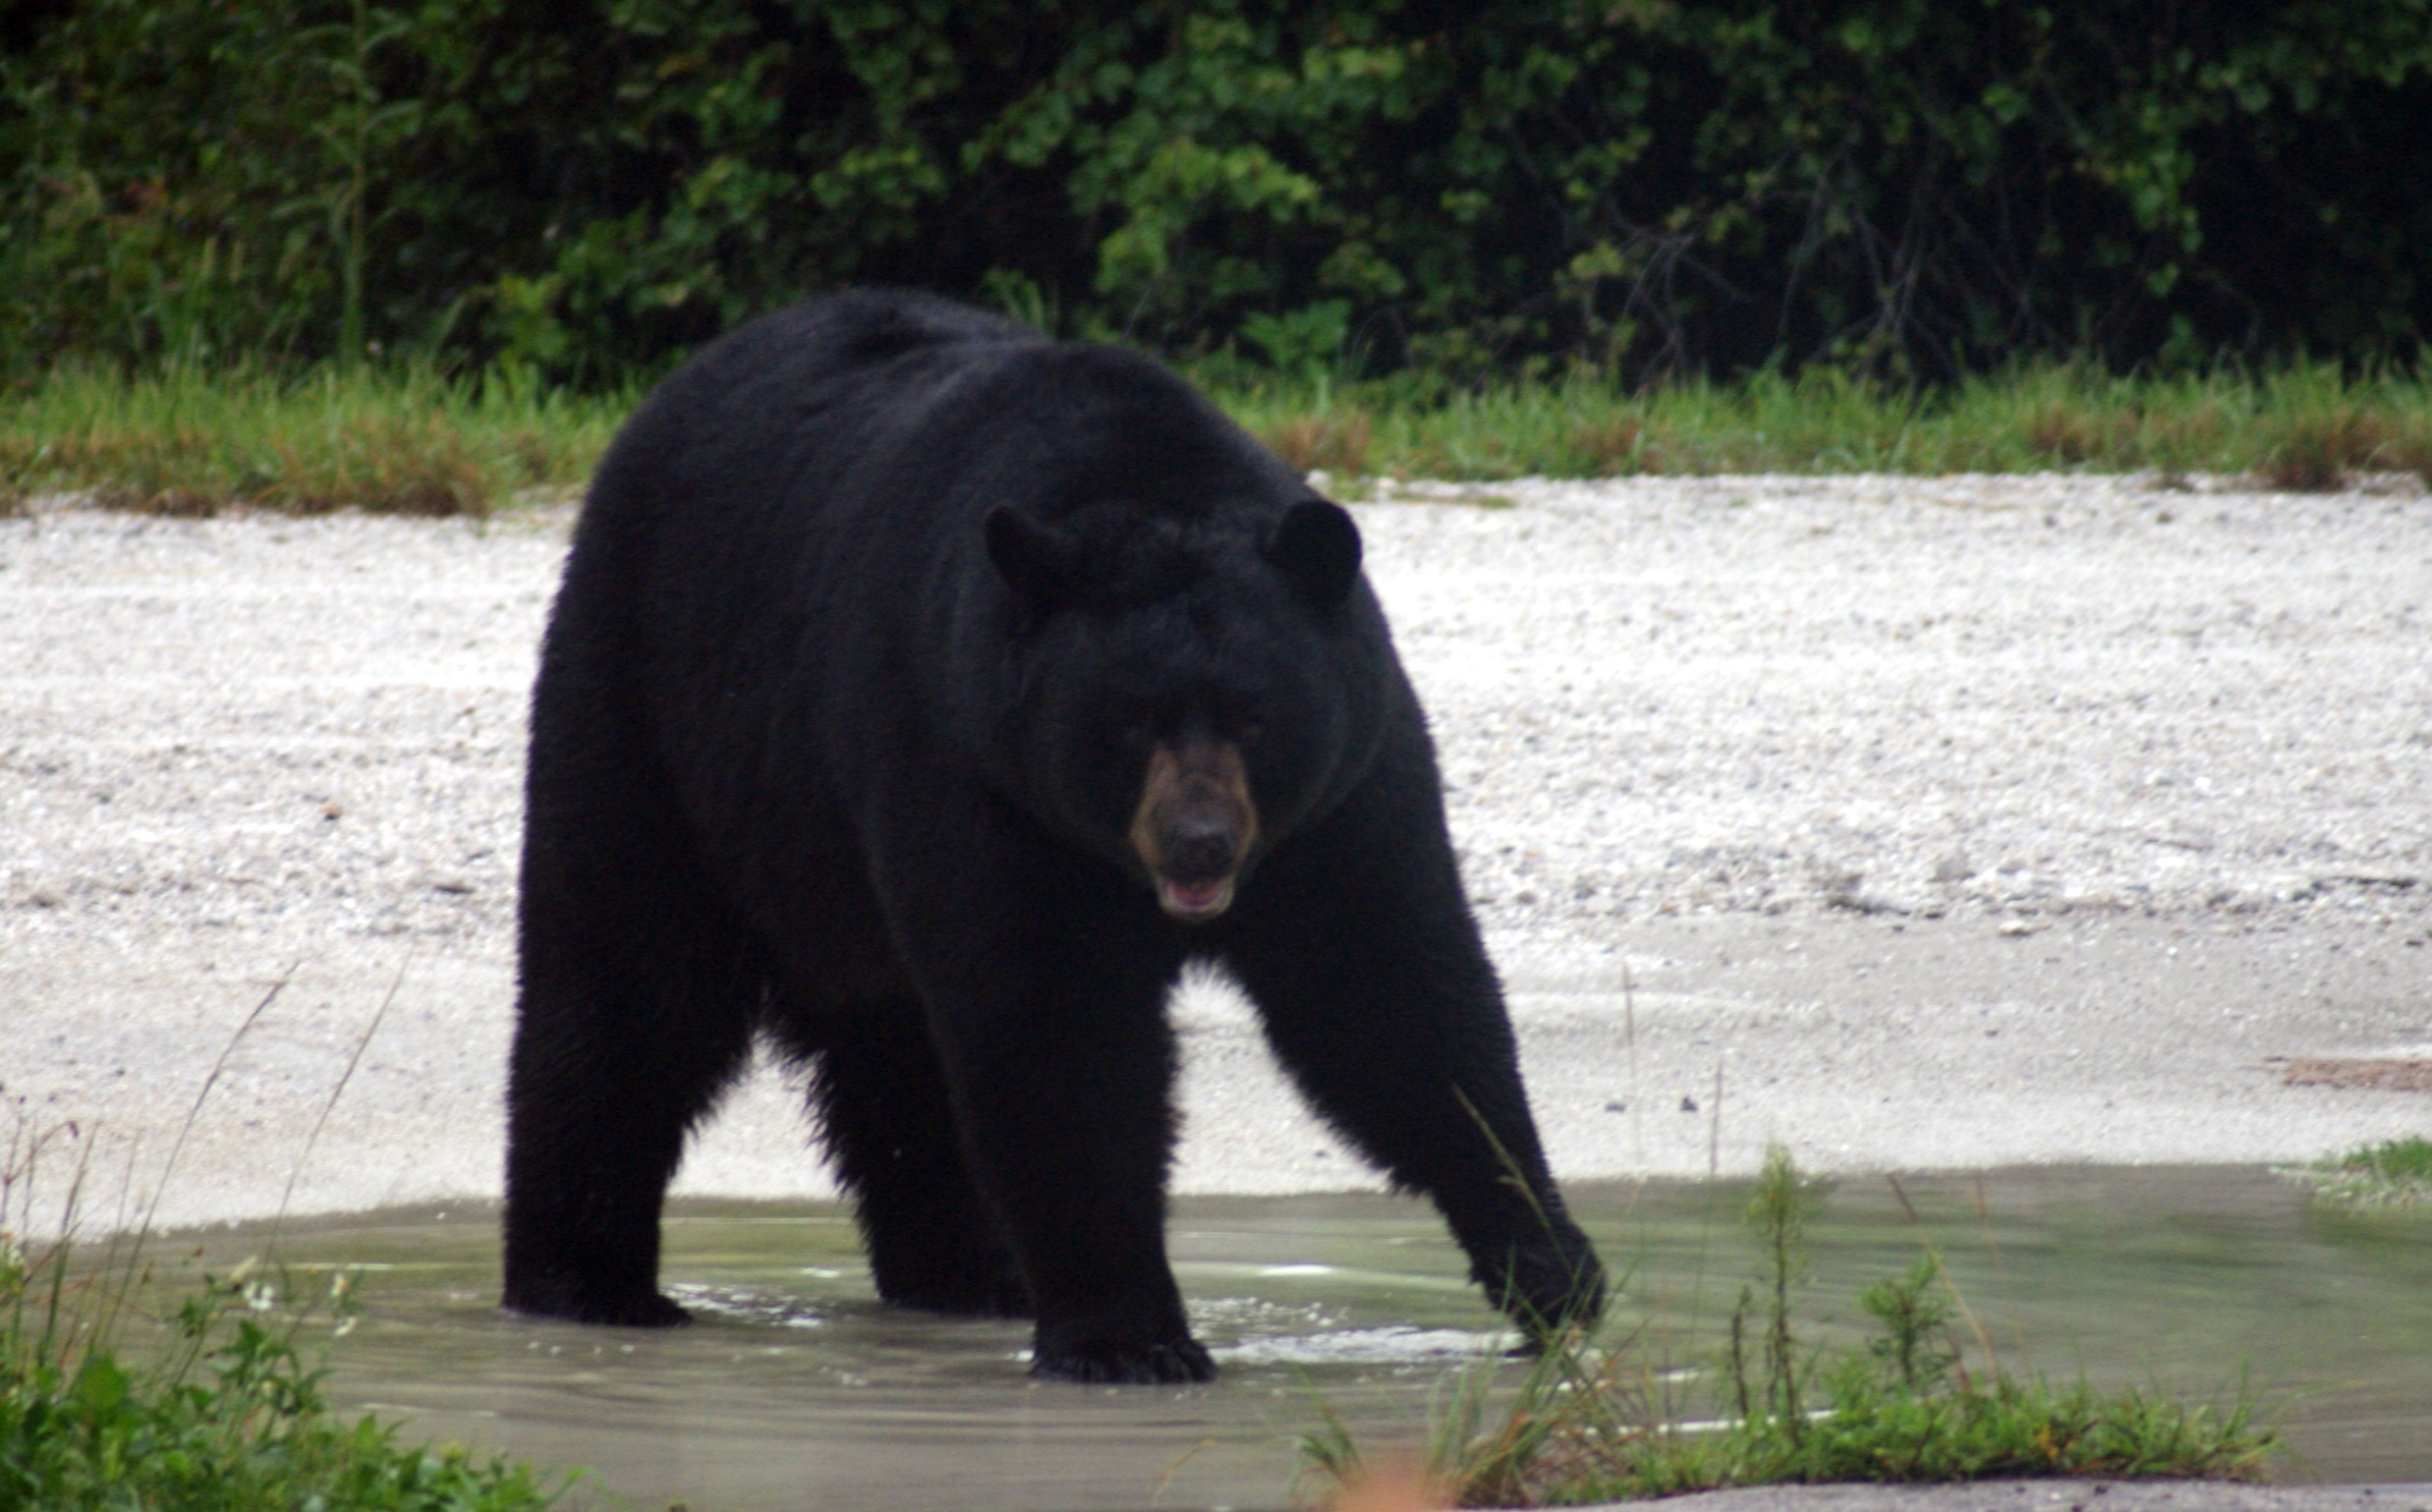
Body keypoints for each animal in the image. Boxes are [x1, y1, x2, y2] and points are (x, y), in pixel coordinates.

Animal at [501, 289, 1605, 1384]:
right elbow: (1060, 1033)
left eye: (1253, 714)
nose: (1199, 842)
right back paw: (589, 1283)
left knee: (898, 1057)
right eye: (1129, 720)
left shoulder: (1337, 803)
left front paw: (1555, 1272)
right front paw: (1131, 1339)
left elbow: (1390, 1005)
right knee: (625, 985)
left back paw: (968, 1276)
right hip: (658, 712)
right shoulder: (984, 777)